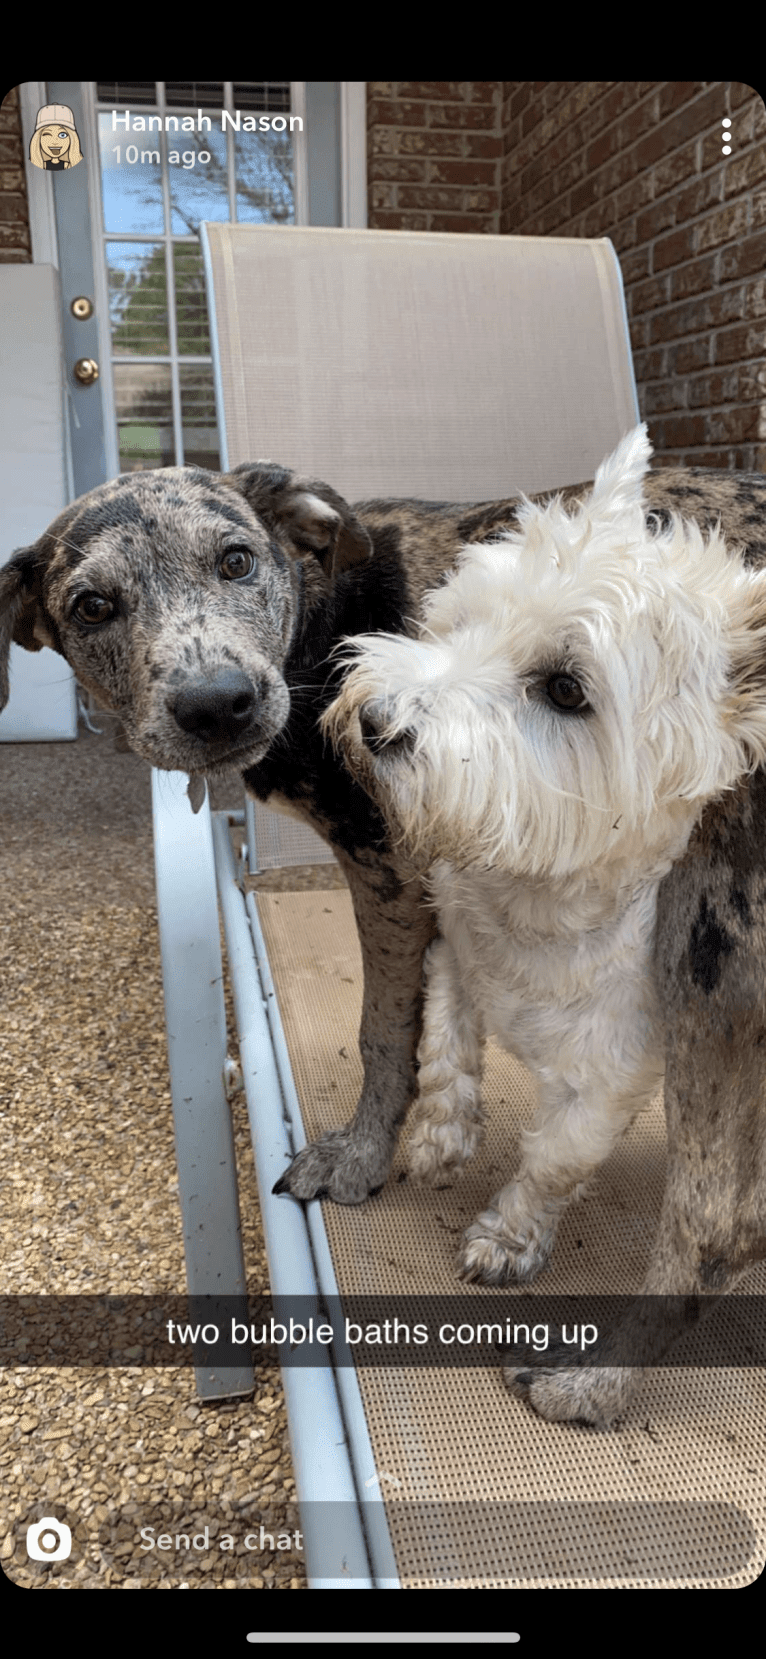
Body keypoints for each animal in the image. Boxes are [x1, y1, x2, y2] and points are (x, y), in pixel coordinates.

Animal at [323, 428, 766, 1280]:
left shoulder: (613, 1075)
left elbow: (557, 1158)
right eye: (464, 621)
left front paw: (507, 1236)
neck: (535, 904)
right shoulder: (451, 946)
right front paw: (439, 1138)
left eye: (565, 689)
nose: (375, 719)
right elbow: (444, 1043)